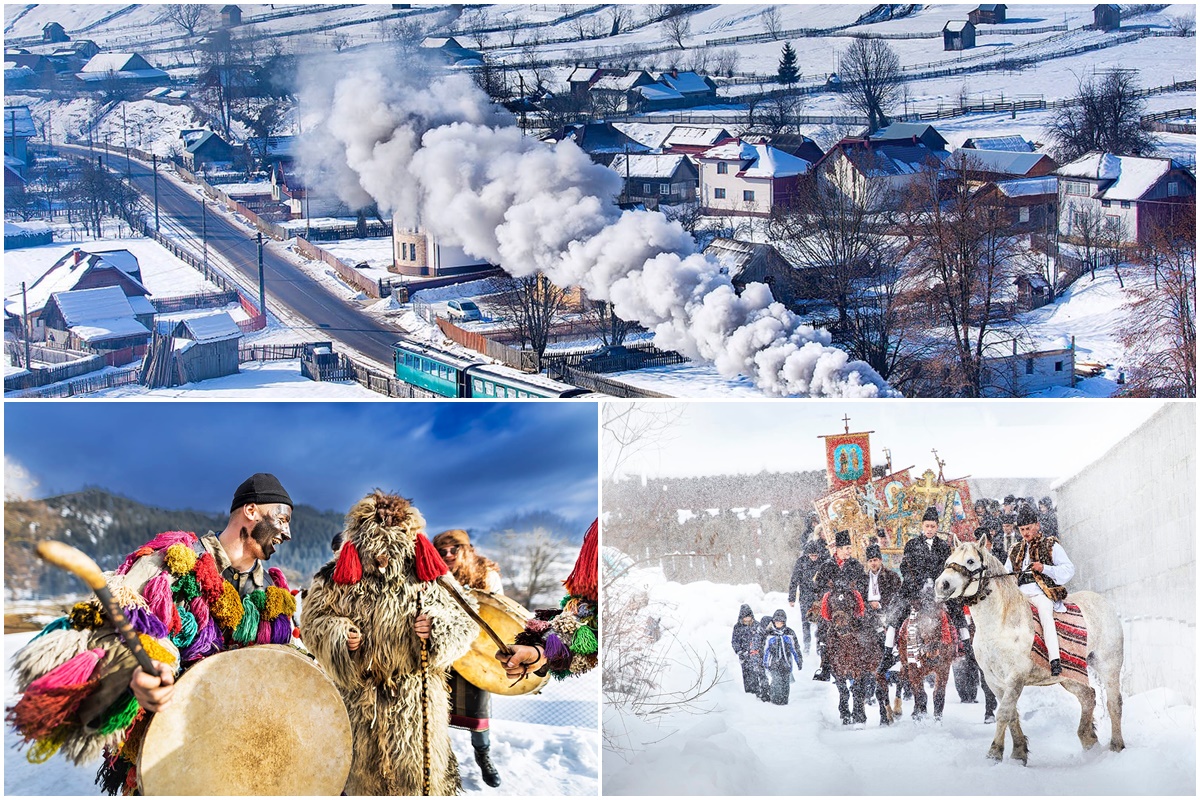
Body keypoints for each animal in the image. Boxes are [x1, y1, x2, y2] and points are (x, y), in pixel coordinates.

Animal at [825, 587, 892, 724]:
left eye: (851, 605)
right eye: (832, 603)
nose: (842, 628)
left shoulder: (859, 669)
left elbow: (858, 690)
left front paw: (858, 716)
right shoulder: (836, 670)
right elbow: (844, 691)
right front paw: (846, 715)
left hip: (877, 669)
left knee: (881, 691)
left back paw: (885, 718)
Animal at [936, 542, 1123, 767]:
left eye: (970, 561)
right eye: (948, 560)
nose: (942, 584)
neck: (1001, 623)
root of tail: (1102, 601)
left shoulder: (1015, 677)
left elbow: (1004, 713)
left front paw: (994, 753)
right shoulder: (993, 680)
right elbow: (1012, 715)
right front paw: (1019, 753)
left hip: (1109, 665)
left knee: (1114, 702)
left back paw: (1116, 745)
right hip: (1069, 676)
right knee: (1088, 696)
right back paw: (1089, 740)